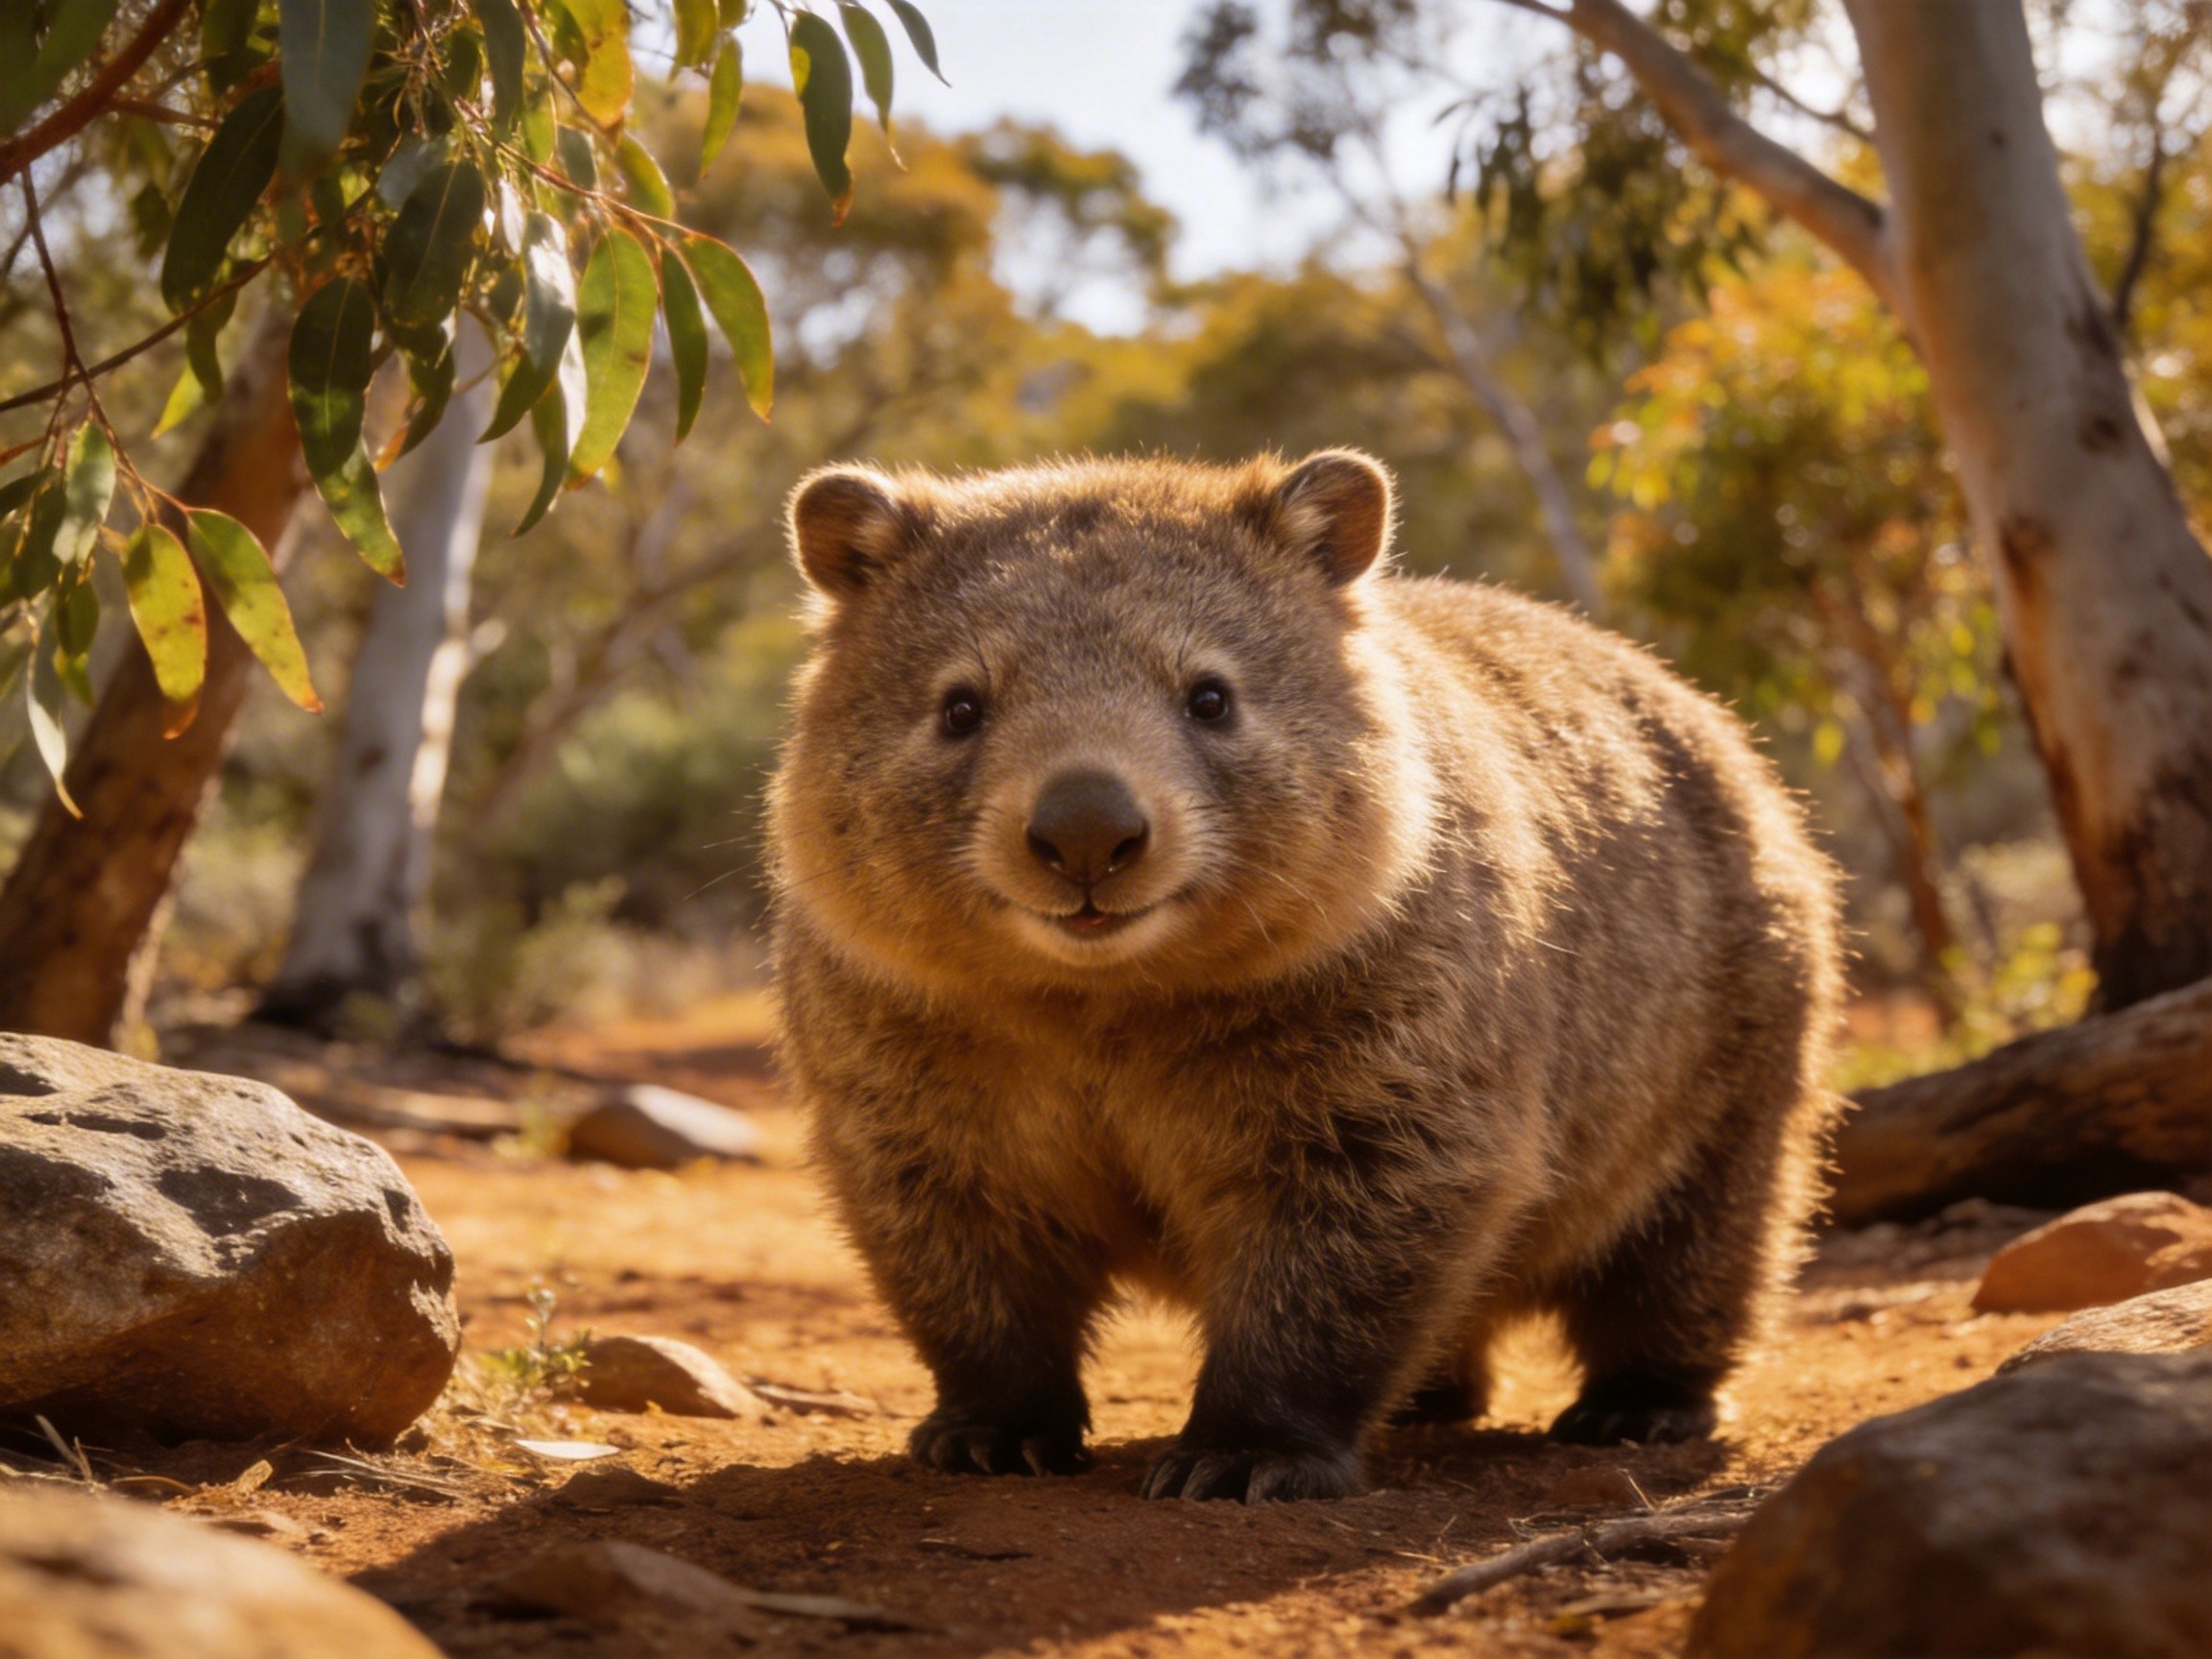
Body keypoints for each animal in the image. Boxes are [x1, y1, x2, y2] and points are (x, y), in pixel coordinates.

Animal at [767, 449, 1842, 1502]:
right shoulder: (902, 1034)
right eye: (960, 708)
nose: (1086, 831)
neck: (1103, 995)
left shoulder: (1396, 1014)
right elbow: (957, 1232)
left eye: (1210, 697)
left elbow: (1352, 1228)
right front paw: (988, 1433)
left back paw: (1638, 1406)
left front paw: (1243, 1457)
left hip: (1736, 1018)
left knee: (1699, 1231)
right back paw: (1433, 1394)